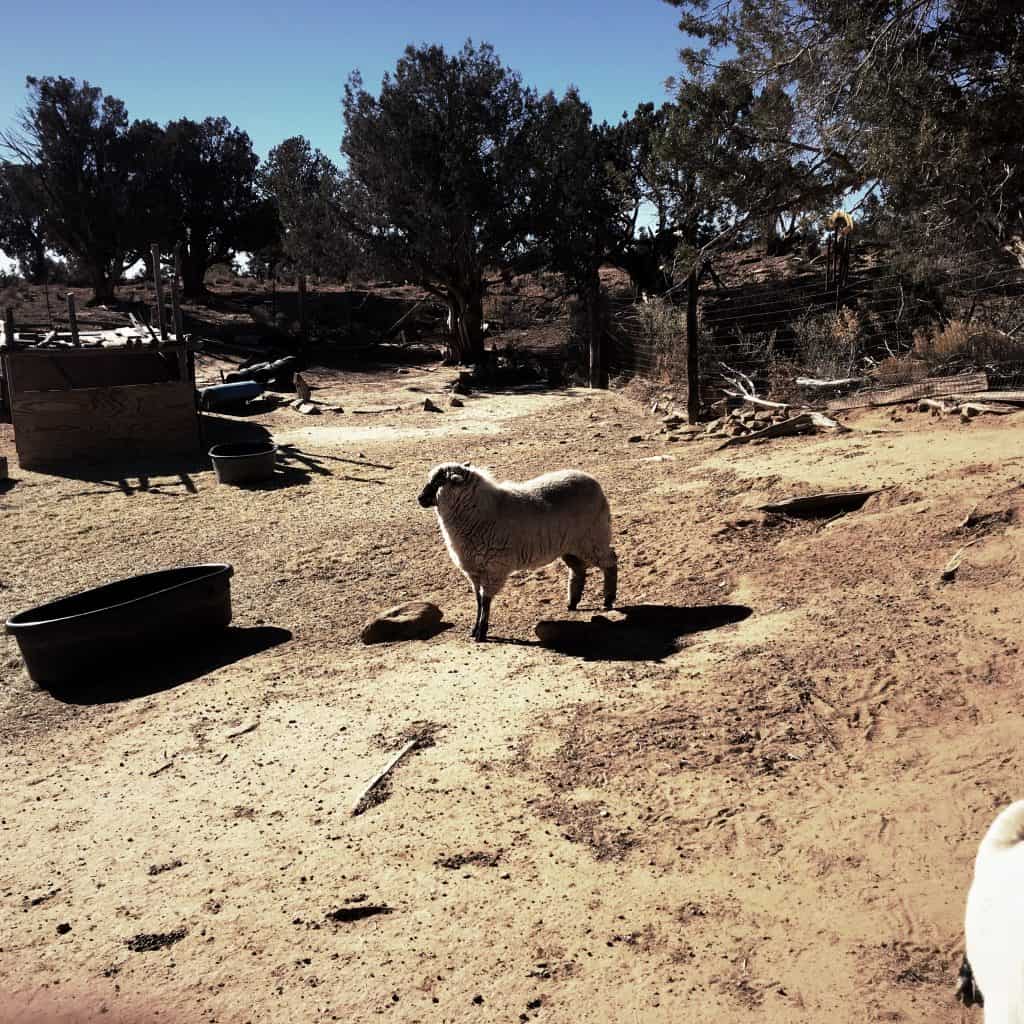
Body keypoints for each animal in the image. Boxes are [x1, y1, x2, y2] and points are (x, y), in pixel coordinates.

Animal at [417, 462, 618, 642]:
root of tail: (593, 481)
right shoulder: (474, 570)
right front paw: (474, 630)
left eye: (437, 482)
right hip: (570, 545)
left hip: (594, 537)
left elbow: (485, 602)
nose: (419, 498)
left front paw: (482, 632)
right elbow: (478, 601)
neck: (480, 512)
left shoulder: (494, 569)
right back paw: (573, 602)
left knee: (610, 561)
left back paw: (608, 599)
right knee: (578, 569)